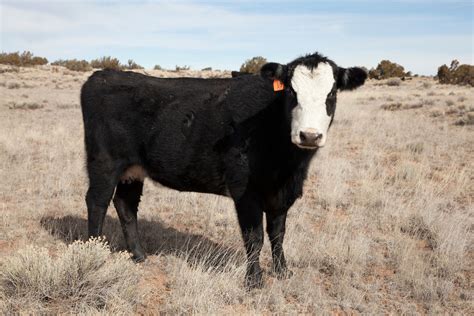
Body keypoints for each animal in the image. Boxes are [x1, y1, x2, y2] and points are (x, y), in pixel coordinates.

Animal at [79, 52, 366, 288]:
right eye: (292, 93)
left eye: (332, 94)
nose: (309, 135)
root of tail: (100, 75)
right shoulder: (245, 191)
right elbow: (254, 237)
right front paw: (254, 280)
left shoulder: (282, 193)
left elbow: (278, 233)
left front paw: (283, 271)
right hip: (104, 161)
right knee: (97, 202)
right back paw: (93, 252)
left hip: (133, 169)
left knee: (125, 204)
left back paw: (138, 255)